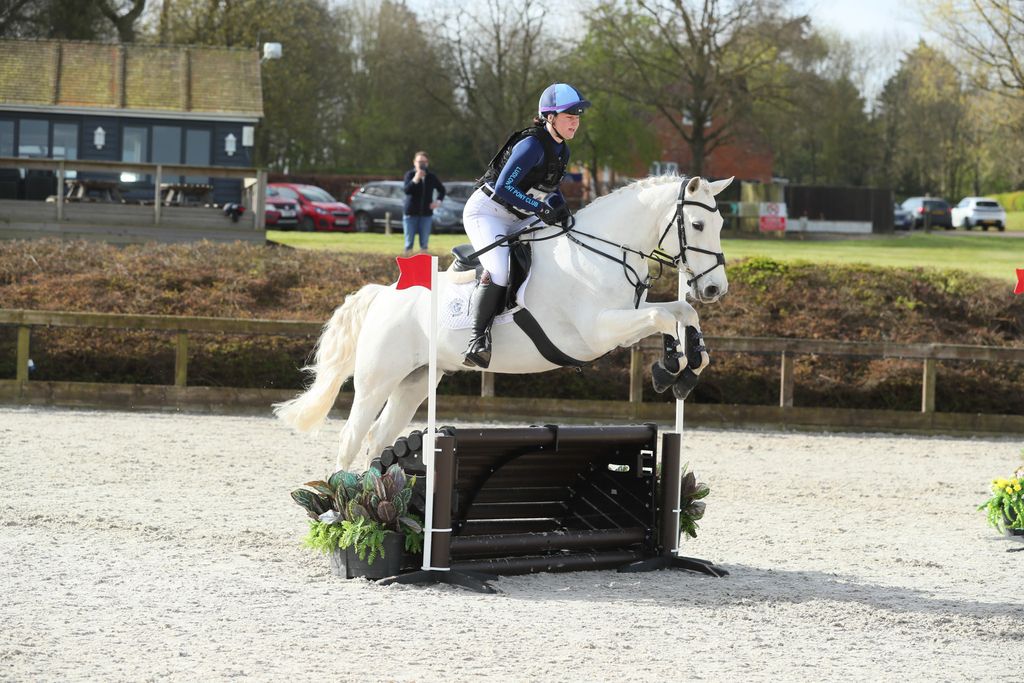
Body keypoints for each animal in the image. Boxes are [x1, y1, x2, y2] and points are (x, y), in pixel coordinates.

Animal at [274, 174, 732, 471]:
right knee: (351, 438)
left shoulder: (626, 319)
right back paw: (338, 513)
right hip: (378, 379)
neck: (602, 251)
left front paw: (687, 365)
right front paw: (670, 368)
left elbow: (681, 313)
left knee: (377, 440)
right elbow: (662, 315)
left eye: (722, 224)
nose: (715, 289)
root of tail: (383, 294)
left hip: (416, 382)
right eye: (697, 225)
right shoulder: (597, 332)